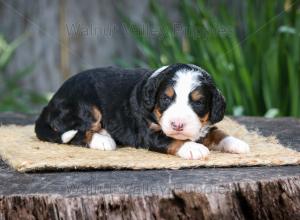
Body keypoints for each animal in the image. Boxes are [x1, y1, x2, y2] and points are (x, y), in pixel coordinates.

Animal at [35, 63, 250, 160]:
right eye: (165, 99)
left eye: (198, 102)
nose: (177, 124)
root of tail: (50, 104)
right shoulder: (148, 134)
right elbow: (172, 139)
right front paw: (193, 147)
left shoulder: (205, 126)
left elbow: (218, 132)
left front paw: (237, 143)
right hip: (85, 105)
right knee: (76, 133)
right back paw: (103, 140)